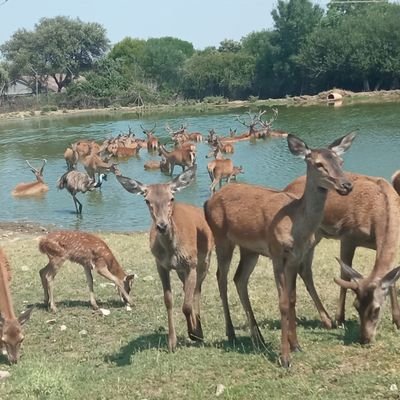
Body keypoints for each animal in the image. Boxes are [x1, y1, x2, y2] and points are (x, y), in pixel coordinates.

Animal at [117, 167, 214, 352]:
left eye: (171, 198)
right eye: (147, 200)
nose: (162, 226)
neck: (172, 251)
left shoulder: (191, 263)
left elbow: (186, 304)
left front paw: (194, 334)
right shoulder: (161, 265)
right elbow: (168, 300)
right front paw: (172, 342)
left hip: (205, 259)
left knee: (197, 290)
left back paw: (199, 331)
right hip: (182, 270)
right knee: (188, 288)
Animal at [205, 132, 354, 368]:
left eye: (340, 161)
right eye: (318, 164)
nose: (346, 185)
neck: (296, 224)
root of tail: (206, 203)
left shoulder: (295, 257)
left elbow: (292, 298)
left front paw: (296, 345)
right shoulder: (276, 253)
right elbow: (282, 302)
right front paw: (285, 357)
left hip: (250, 249)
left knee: (239, 278)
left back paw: (258, 337)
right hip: (221, 238)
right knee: (221, 277)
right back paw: (231, 333)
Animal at [284, 170, 400, 342]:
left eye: (376, 309)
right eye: (356, 306)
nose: (364, 338)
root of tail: (286, 187)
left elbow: (392, 280)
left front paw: (397, 321)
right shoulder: (348, 236)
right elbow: (344, 275)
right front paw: (340, 318)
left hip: (316, 236)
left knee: (304, 268)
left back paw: (325, 319)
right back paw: (326, 320)